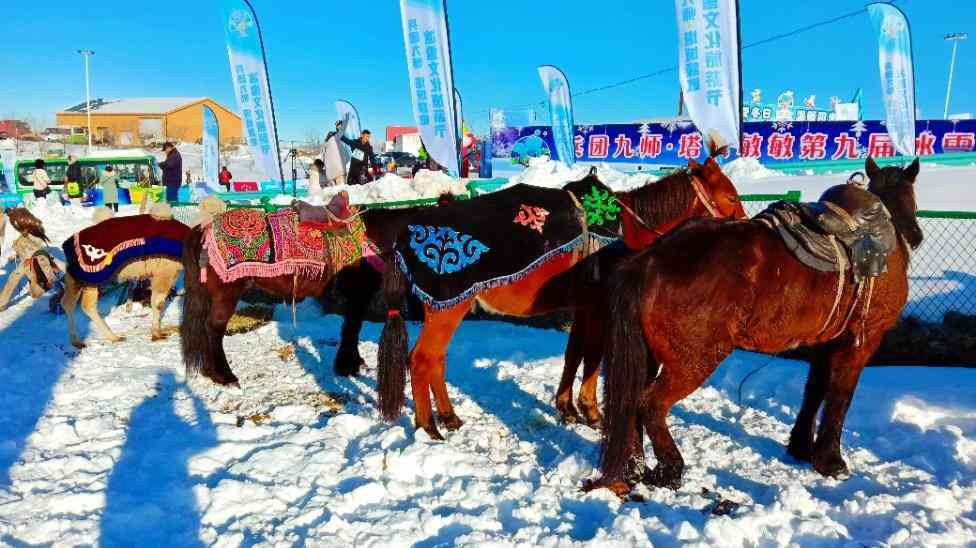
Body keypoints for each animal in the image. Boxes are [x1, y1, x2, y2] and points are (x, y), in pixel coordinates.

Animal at [377, 153, 746, 440]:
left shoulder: (583, 307)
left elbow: (574, 355)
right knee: (422, 359)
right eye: (730, 197)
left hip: (451, 307)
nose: (746, 227)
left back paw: (448, 416)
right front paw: (591, 410)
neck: (626, 231)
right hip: (447, 308)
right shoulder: (598, 308)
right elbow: (593, 357)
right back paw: (428, 425)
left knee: (435, 360)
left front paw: (566, 408)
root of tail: (405, 234)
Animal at [592, 157, 922, 496]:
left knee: (631, 406)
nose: (916, 235)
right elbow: (840, 397)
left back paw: (635, 467)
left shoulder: (825, 341)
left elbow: (814, 391)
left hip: (649, 356)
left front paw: (801, 447)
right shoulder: (861, 341)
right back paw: (670, 469)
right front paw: (831, 461)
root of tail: (649, 260)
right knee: (651, 405)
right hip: (693, 361)